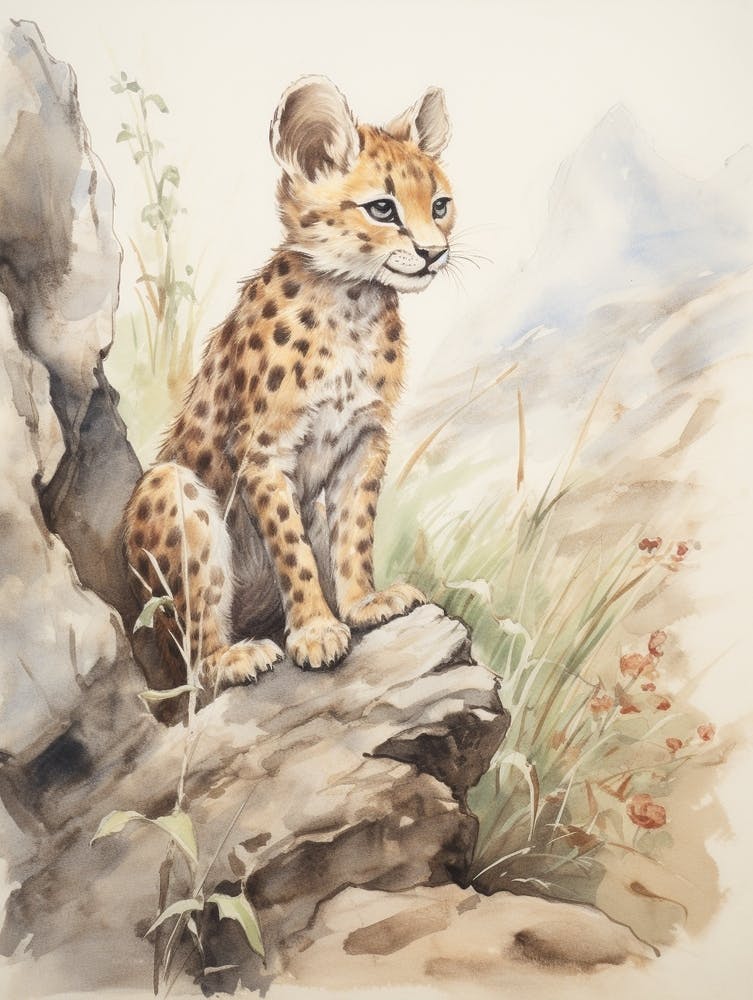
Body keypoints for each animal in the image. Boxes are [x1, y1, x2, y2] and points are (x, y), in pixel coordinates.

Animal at [122, 75, 455, 691]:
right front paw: (316, 630)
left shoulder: (365, 440)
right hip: (169, 489)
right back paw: (231, 656)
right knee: (193, 658)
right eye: (383, 208)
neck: (352, 300)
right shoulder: (263, 452)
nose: (433, 253)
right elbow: (291, 547)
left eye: (440, 205)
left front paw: (361, 603)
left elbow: (354, 531)